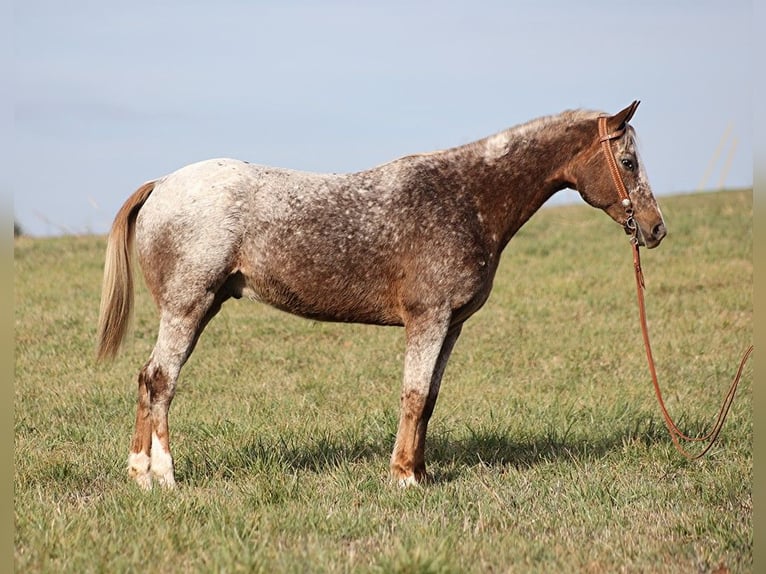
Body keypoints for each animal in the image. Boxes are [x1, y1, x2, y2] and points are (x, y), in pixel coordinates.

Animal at [97, 100, 664, 490]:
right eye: (628, 162)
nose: (655, 228)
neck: (466, 197)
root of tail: (162, 183)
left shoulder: (450, 326)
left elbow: (429, 398)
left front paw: (421, 472)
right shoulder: (427, 320)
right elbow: (412, 395)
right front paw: (403, 478)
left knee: (146, 378)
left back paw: (139, 474)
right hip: (188, 307)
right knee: (161, 379)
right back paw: (165, 476)